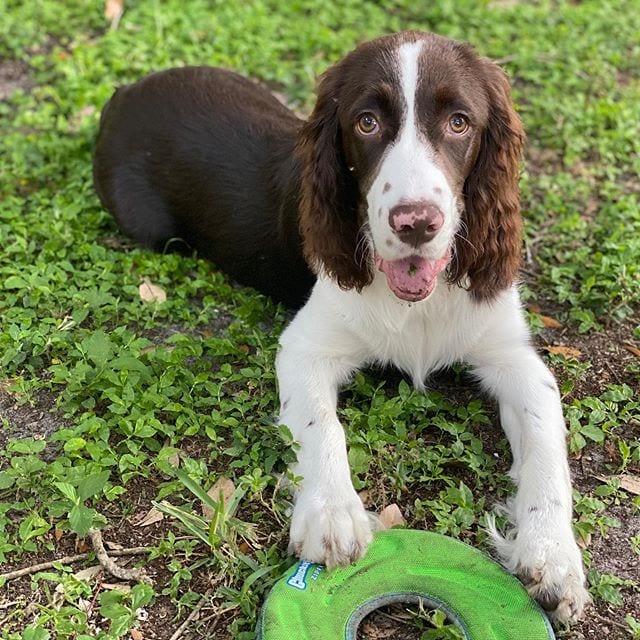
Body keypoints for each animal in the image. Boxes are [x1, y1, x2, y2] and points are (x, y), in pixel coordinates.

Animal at [94, 31, 592, 624]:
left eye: (459, 122)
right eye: (367, 123)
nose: (415, 223)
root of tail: (126, 90)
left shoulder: (512, 355)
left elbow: (546, 439)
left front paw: (553, 556)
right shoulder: (305, 345)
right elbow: (319, 424)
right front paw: (330, 514)